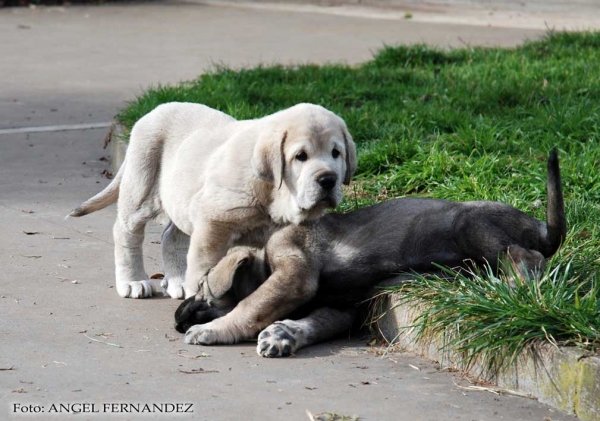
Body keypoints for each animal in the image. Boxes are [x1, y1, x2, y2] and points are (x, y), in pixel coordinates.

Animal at [69, 101, 356, 298]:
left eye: (336, 153)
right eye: (301, 156)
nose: (328, 180)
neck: (272, 193)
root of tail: (153, 111)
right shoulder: (213, 222)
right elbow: (204, 264)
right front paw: (200, 295)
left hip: (183, 199)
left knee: (171, 236)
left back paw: (177, 280)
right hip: (142, 185)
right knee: (126, 231)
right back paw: (133, 281)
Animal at [176, 149, 564, 356]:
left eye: (203, 288)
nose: (177, 319)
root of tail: (539, 226)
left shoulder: (293, 272)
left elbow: (248, 306)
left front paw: (214, 329)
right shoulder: (339, 309)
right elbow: (306, 322)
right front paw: (282, 333)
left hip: (468, 223)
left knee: (527, 256)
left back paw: (516, 287)